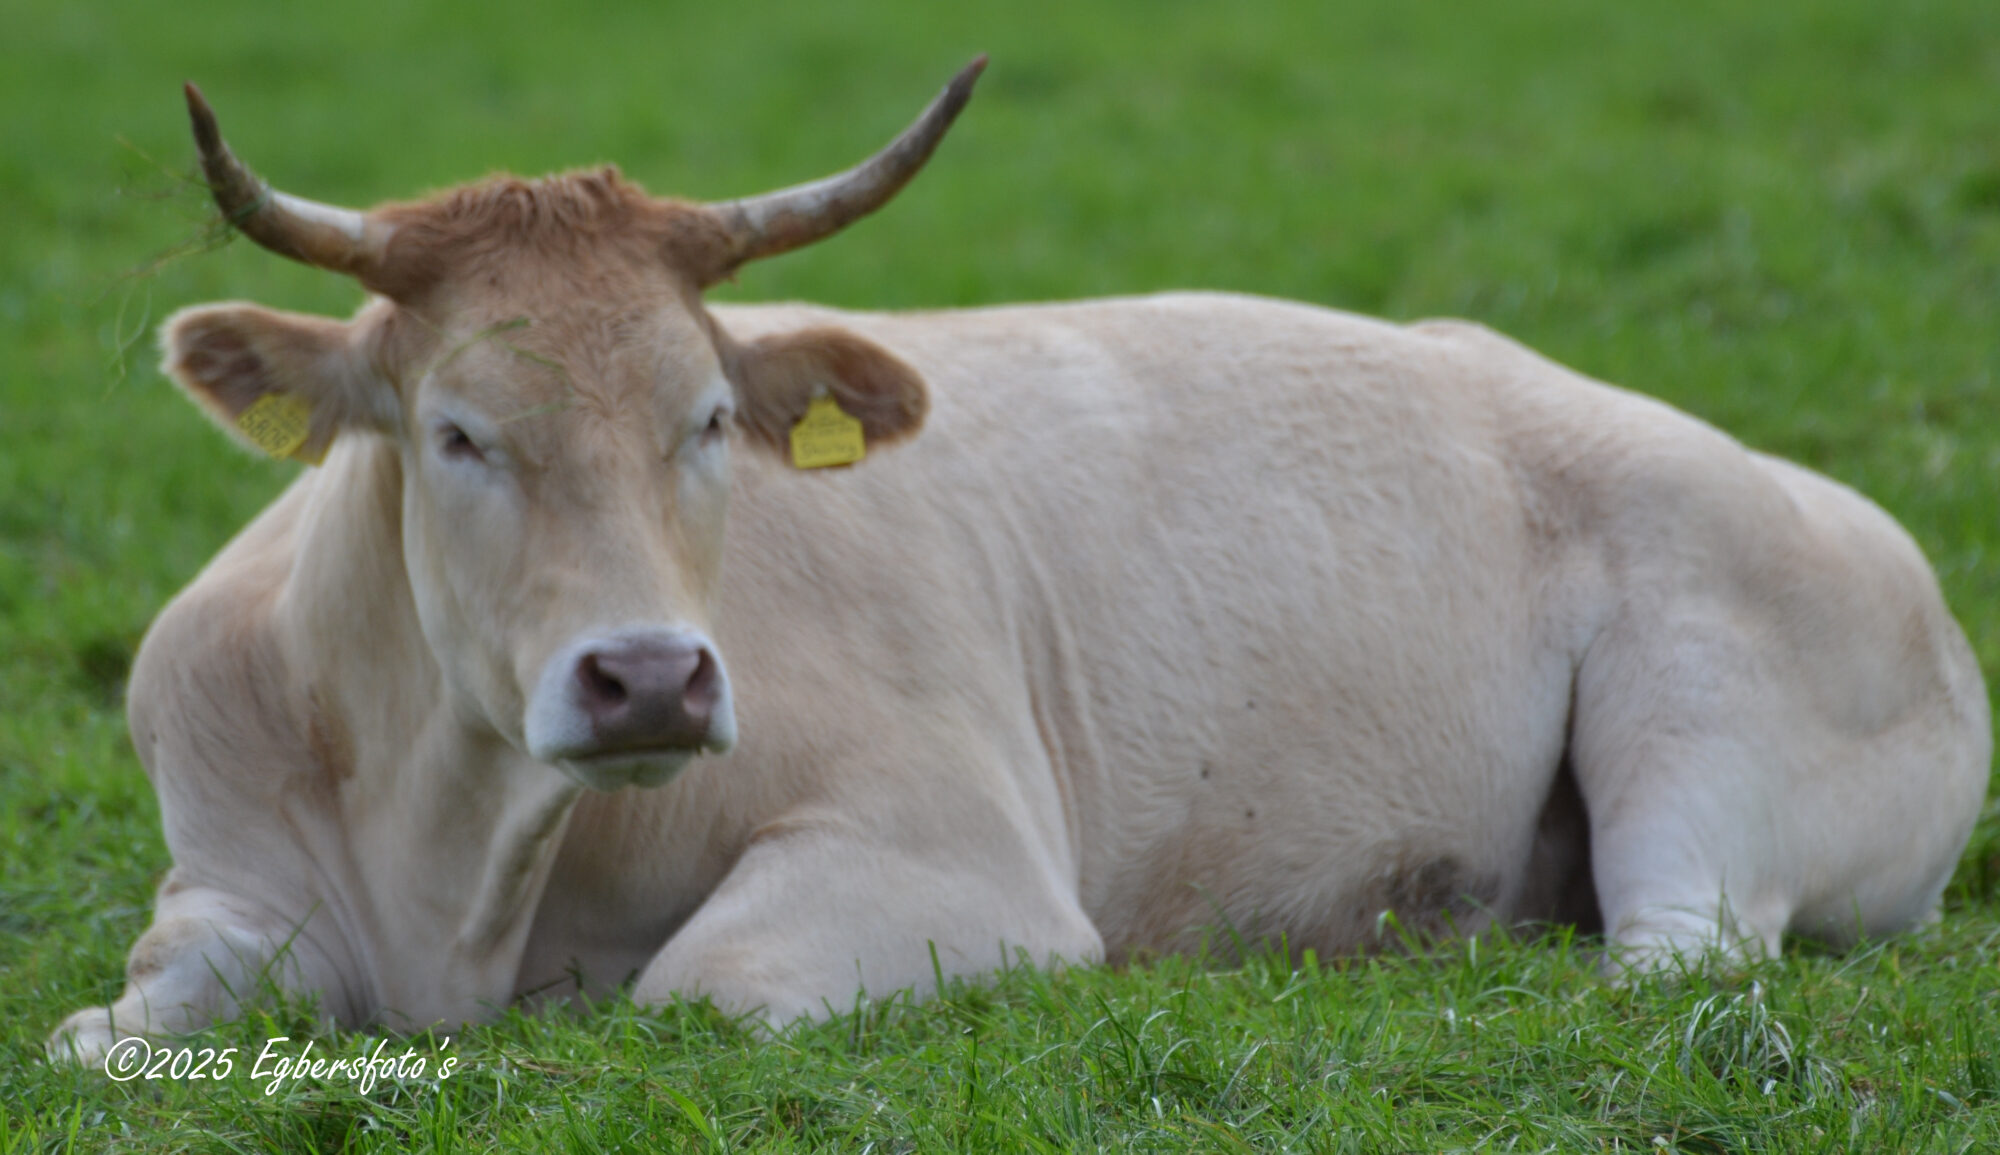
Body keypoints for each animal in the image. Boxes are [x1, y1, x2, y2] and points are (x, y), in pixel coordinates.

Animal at [50, 59, 1990, 1063]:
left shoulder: (950, 859)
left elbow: (703, 990)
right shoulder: (222, 885)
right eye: (457, 430)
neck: (462, 863)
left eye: (707, 417)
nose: (651, 675)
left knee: (1676, 958)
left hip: (1699, 754)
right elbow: (117, 1026)